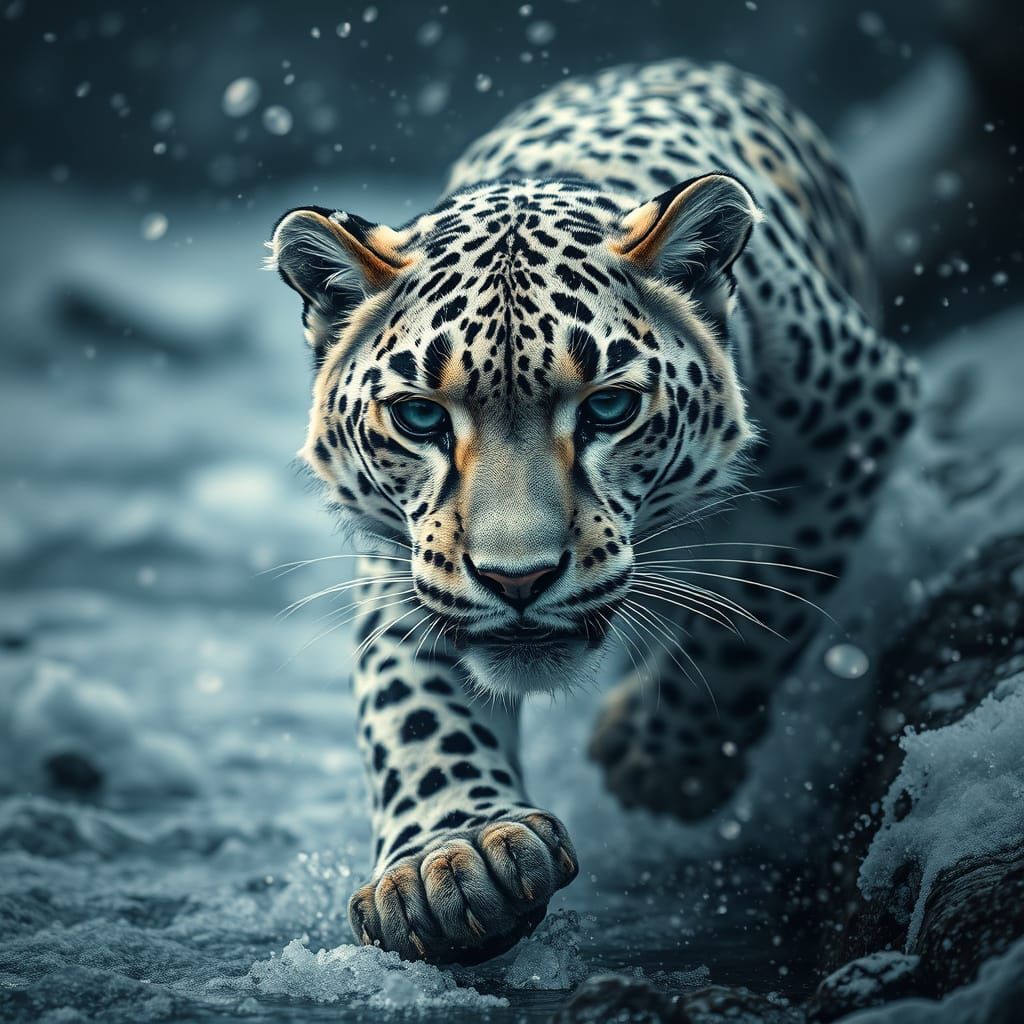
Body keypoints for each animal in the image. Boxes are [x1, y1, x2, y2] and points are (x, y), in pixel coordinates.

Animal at [267, 59, 918, 966]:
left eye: (609, 409)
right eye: (421, 418)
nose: (518, 580)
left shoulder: (856, 419)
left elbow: (757, 609)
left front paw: (661, 763)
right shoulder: (405, 556)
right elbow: (410, 699)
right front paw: (450, 858)